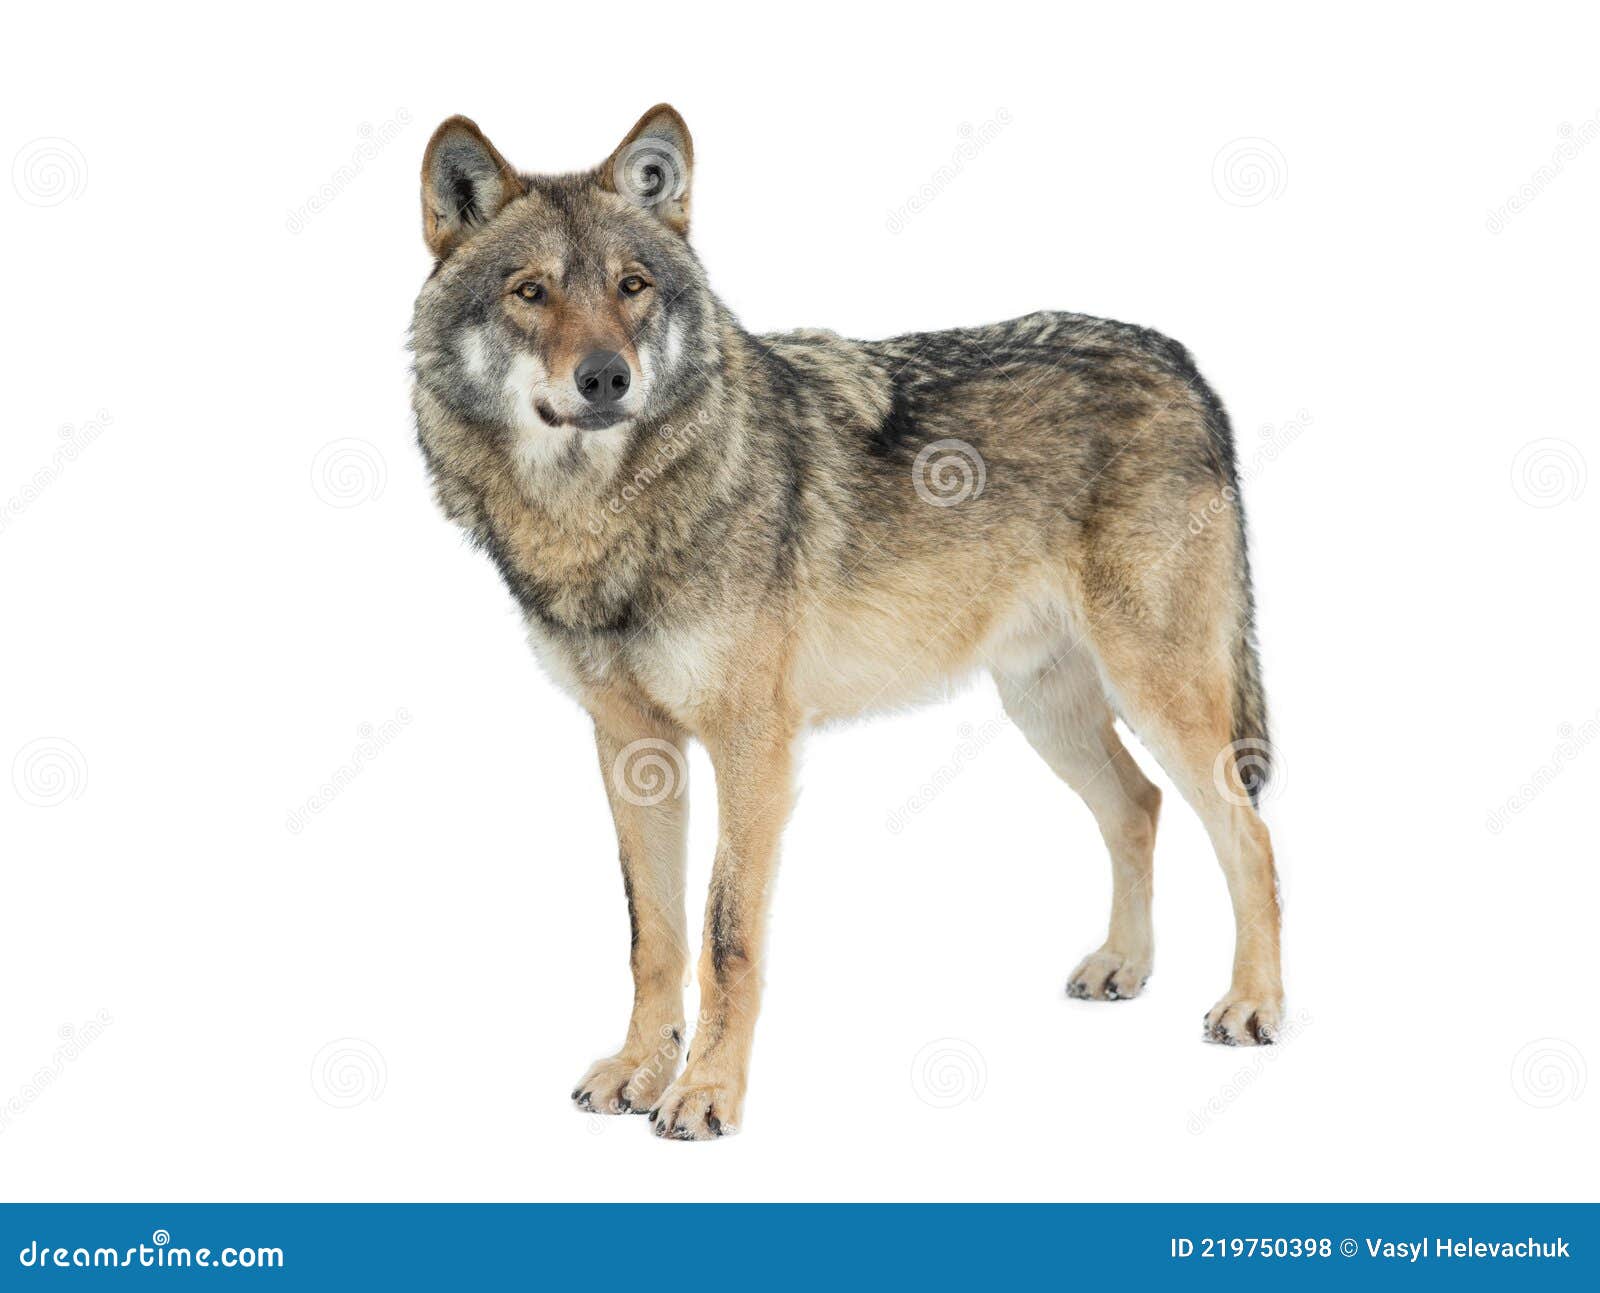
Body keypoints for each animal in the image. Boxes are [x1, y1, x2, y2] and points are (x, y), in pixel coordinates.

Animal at [410, 105, 1283, 1139]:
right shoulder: (631, 747)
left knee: (1249, 834)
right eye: (530, 291)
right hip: (1046, 710)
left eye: (632, 287)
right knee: (1139, 806)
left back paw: (1254, 1004)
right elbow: (651, 934)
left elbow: (725, 936)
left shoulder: (754, 747)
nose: (606, 378)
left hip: (1161, 695)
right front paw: (637, 1069)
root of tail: (1181, 359)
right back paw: (1125, 966)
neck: (606, 517)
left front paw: (707, 1092)